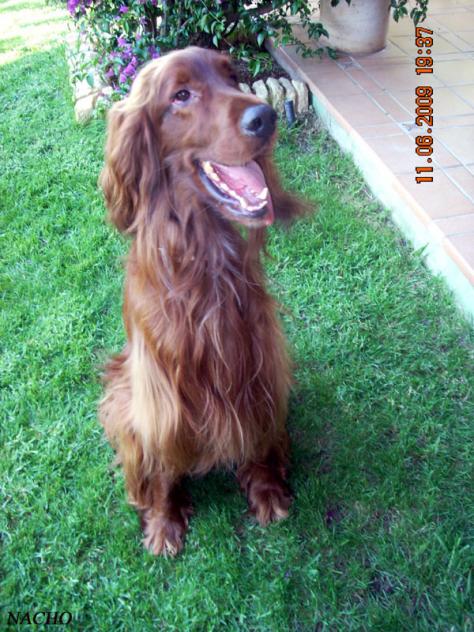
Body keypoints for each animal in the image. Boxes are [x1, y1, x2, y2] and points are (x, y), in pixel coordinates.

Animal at [99, 47, 306, 556]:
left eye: (232, 77)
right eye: (181, 95)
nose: (266, 116)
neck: (202, 254)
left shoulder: (256, 359)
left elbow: (259, 431)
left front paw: (266, 488)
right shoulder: (159, 396)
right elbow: (161, 462)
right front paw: (164, 520)